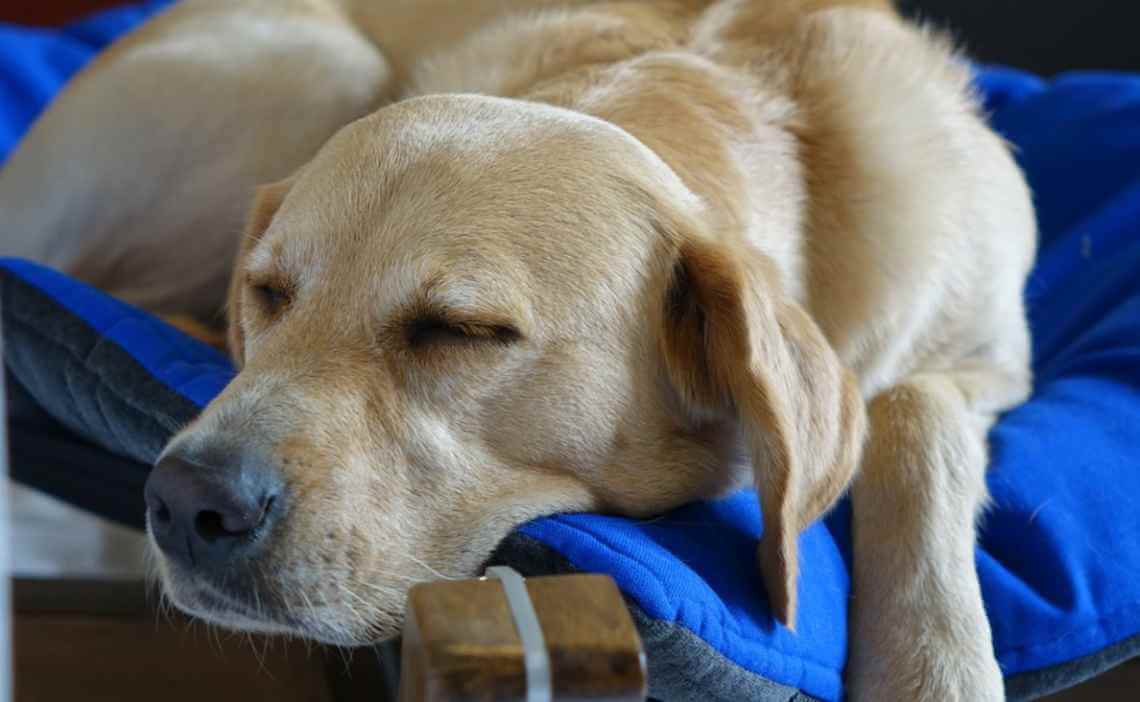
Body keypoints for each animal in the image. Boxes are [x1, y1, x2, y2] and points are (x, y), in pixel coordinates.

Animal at [0, 0, 1035, 697]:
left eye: (461, 330)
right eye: (270, 295)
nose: (182, 502)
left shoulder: (995, 356)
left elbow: (914, 418)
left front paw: (932, 664)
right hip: (315, 60)